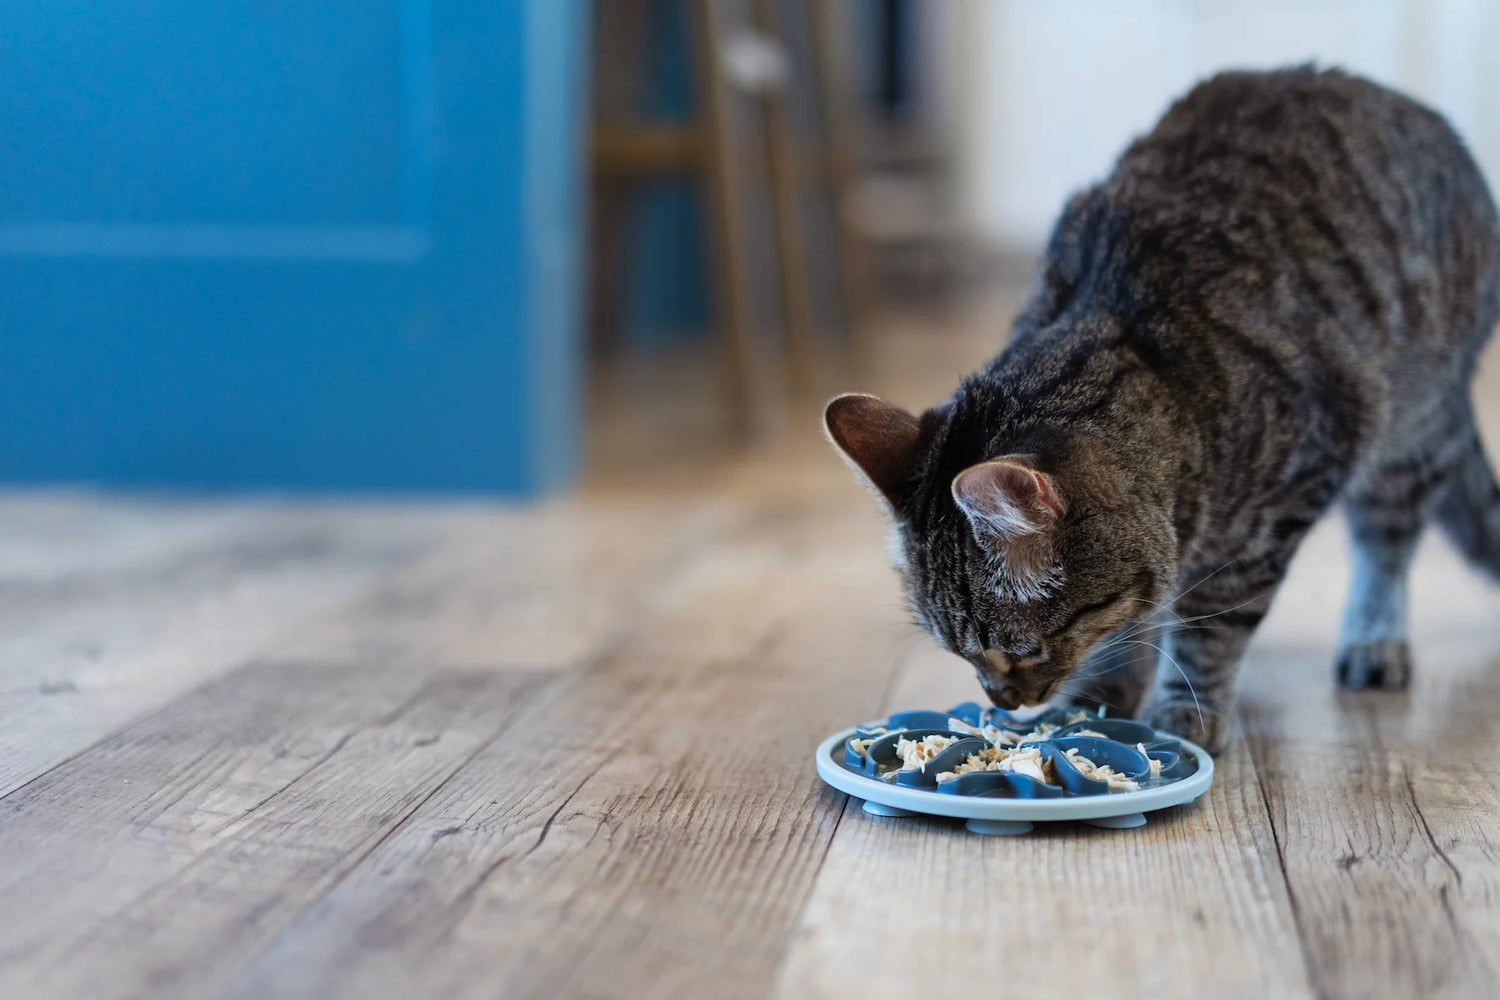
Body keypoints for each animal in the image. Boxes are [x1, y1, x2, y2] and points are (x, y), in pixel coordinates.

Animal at [828, 66, 1500, 749]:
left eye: (1021, 651)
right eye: (958, 653)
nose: (1002, 699)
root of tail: (1410, 106)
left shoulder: (1284, 501)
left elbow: (1209, 629)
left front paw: (1182, 709)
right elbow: (1131, 621)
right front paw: (1102, 695)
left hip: (1409, 435)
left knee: (1385, 546)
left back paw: (1374, 638)